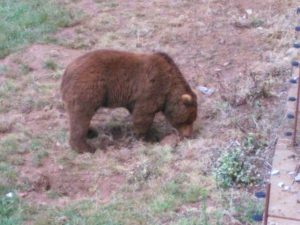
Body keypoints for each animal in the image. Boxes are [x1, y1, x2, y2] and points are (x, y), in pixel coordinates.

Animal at [60, 49, 197, 153]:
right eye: (188, 120)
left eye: (192, 120)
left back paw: (91, 132)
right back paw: (86, 148)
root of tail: (66, 72)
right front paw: (149, 137)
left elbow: (136, 112)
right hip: (88, 88)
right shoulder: (152, 89)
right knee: (81, 117)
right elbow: (143, 115)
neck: (169, 87)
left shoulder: (134, 99)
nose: (189, 135)